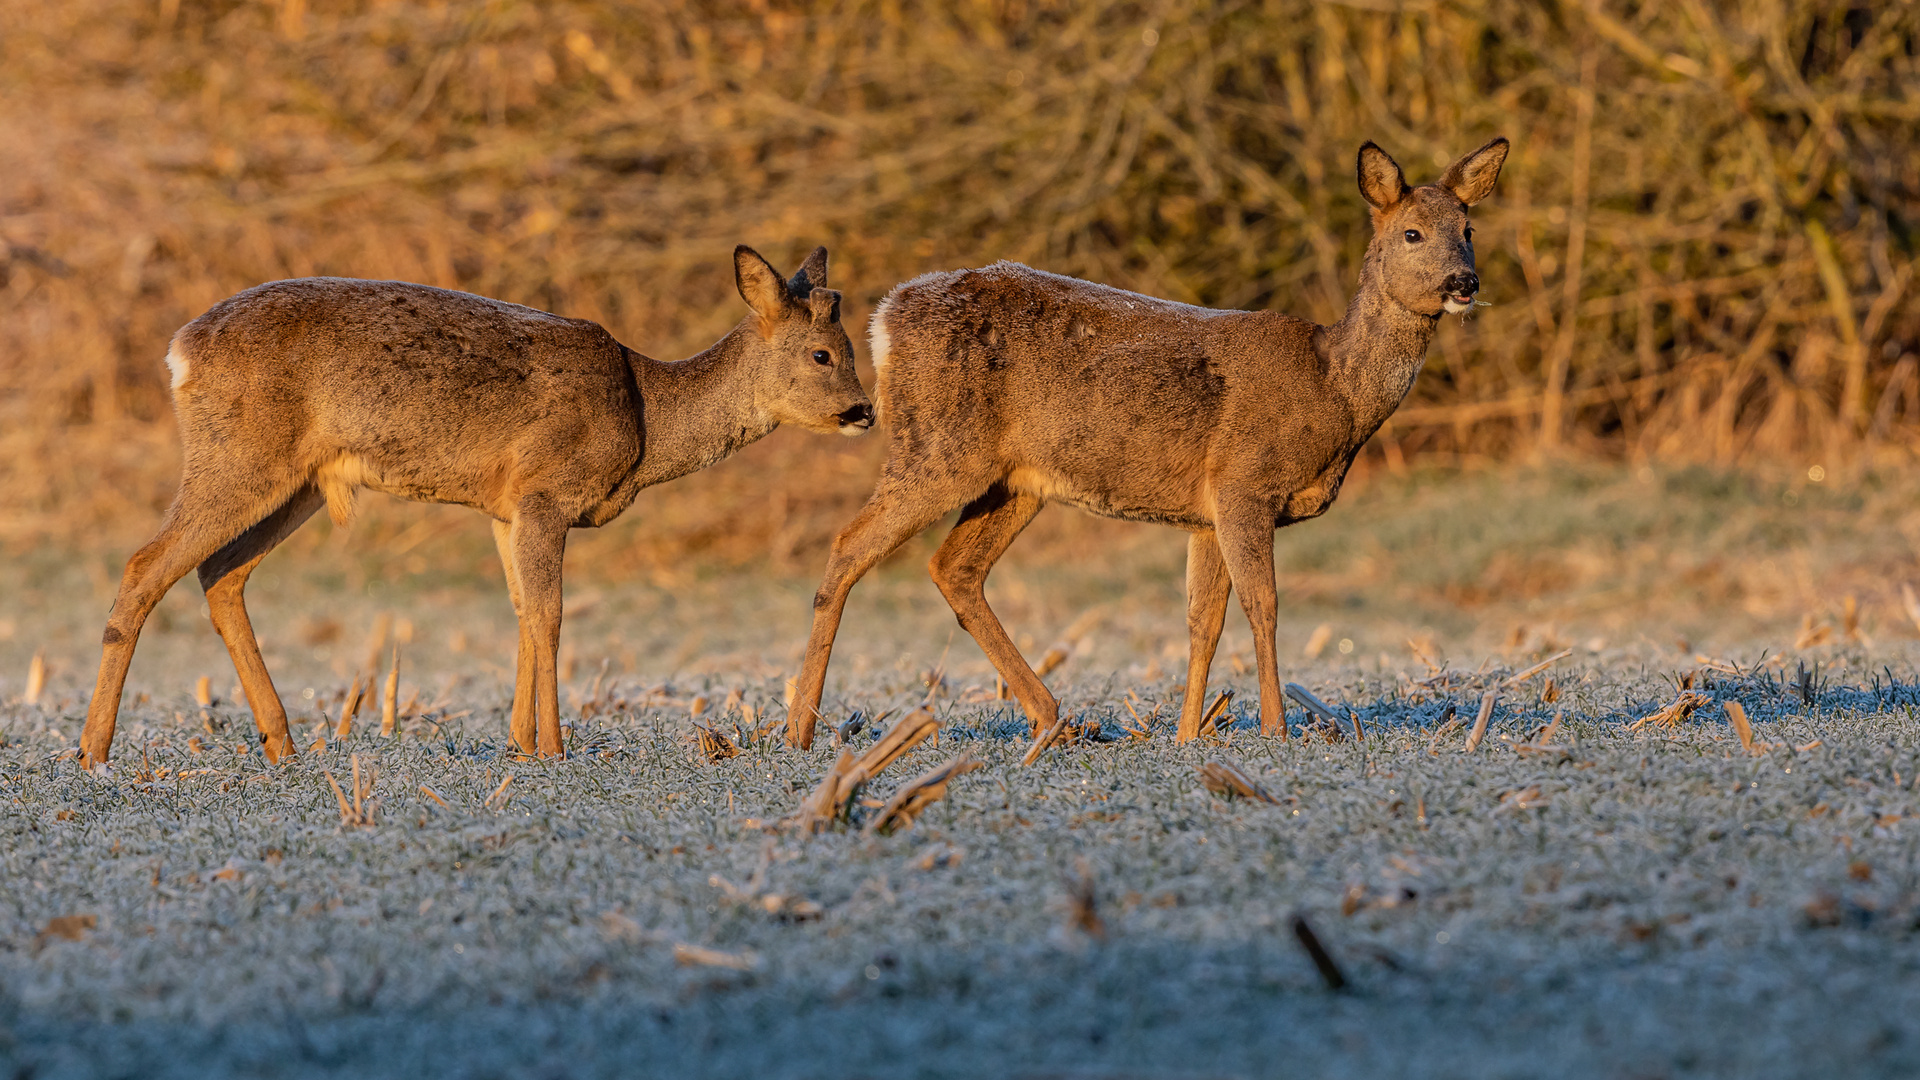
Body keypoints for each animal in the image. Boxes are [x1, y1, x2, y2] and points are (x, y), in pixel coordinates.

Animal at [78, 244, 875, 764]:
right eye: (823, 355)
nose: (866, 411)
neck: (647, 416)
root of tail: (179, 350)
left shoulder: (505, 507)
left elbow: (521, 611)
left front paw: (520, 743)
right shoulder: (546, 489)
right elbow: (550, 615)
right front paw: (553, 750)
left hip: (295, 482)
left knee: (220, 574)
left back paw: (282, 743)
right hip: (240, 458)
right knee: (145, 566)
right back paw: (93, 750)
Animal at [787, 136, 1505, 749]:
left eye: (1468, 231)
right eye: (1411, 232)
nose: (1464, 284)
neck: (1334, 392)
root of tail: (886, 318)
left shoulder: (1205, 513)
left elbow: (1202, 622)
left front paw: (1189, 734)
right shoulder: (1244, 483)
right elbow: (1264, 606)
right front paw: (1275, 729)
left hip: (1013, 480)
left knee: (953, 568)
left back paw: (1052, 718)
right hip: (939, 446)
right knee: (849, 546)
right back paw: (800, 729)